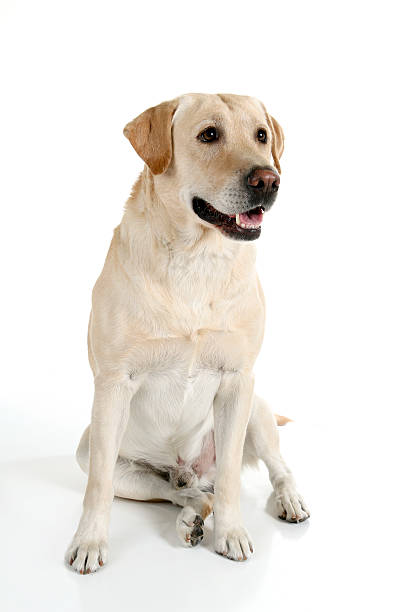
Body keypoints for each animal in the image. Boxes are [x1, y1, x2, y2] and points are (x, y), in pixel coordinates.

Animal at [64, 92, 310, 572]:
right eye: (209, 134)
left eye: (261, 135)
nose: (268, 180)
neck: (196, 259)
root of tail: (186, 466)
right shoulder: (113, 385)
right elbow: (99, 485)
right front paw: (89, 542)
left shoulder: (237, 380)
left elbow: (232, 476)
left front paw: (231, 534)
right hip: (95, 447)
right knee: (182, 492)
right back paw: (190, 517)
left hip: (257, 409)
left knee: (274, 467)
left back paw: (287, 499)